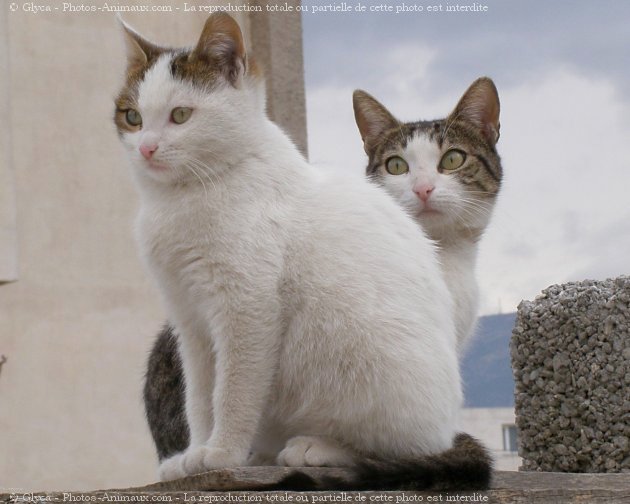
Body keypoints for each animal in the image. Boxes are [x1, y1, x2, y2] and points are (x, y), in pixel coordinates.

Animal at [118, 12, 494, 488]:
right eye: (132, 117)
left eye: (180, 115)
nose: (147, 147)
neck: (185, 197)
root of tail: (447, 427)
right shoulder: (189, 318)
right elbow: (200, 396)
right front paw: (196, 453)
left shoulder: (248, 308)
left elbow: (233, 390)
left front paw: (222, 453)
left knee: (401, 449)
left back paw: (316, 447)